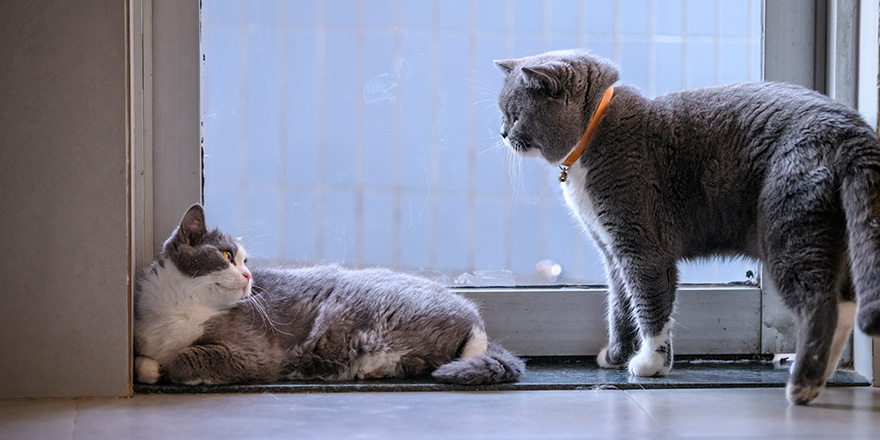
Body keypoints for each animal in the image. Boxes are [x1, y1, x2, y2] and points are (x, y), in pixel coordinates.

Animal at [134, 204, 524, 384]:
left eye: (245, 260)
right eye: (228, 256)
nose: (247, 275)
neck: (179, 310)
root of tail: (473, 316)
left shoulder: (253, 355)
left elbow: (185, 358)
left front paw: (169, 368)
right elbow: (143, 361)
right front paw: (151, 367)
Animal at [492, 49, 880, 406]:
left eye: (515, 114)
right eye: (504, 115)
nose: (502, 133)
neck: (594, 133)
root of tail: (851, 130)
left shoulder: (641, 245)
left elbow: (649, 302)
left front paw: (651, 364)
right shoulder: (612, 251)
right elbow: (619, 306)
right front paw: (616, 356)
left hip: (790, 229)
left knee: (820, 304)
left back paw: (802, 386)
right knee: (843, 304)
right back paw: (822, 375)